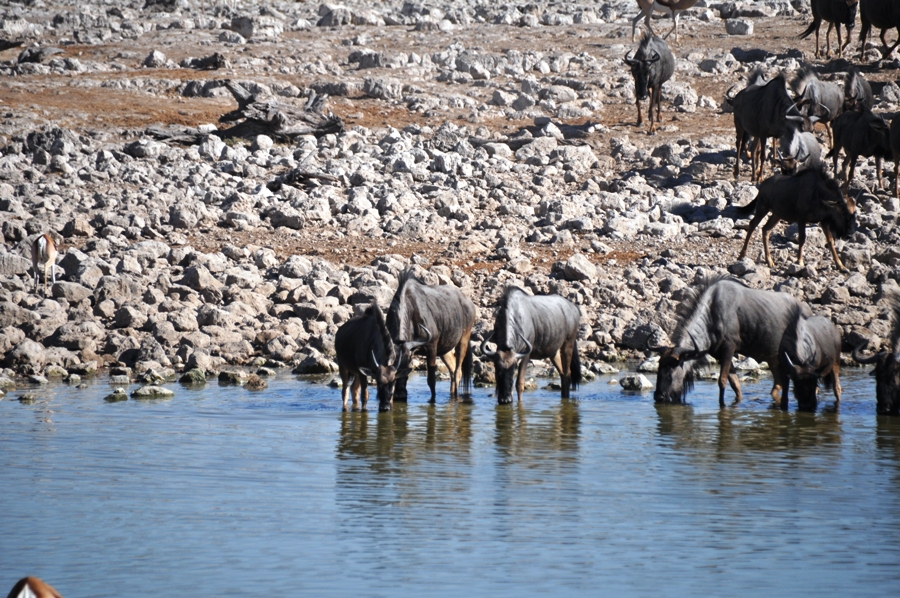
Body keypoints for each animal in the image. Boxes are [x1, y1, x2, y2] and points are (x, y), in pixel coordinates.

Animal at [386, 270, 478, 404]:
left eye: (407, 363)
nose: (400, 395)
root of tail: (469, 303)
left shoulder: (431, 347)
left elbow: (431, 381)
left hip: (463, 339)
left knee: (458, 371)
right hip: (445, 348)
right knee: (452, 369)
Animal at [648, 276, 808, 408]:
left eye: (672, 369)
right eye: (659, 367)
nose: (658, 396)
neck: (711, 314)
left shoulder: (729, 348)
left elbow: (722, 380)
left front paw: (722, 405)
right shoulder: (720, 354)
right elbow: (735, 383)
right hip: (773, 357)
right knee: (778, 383)